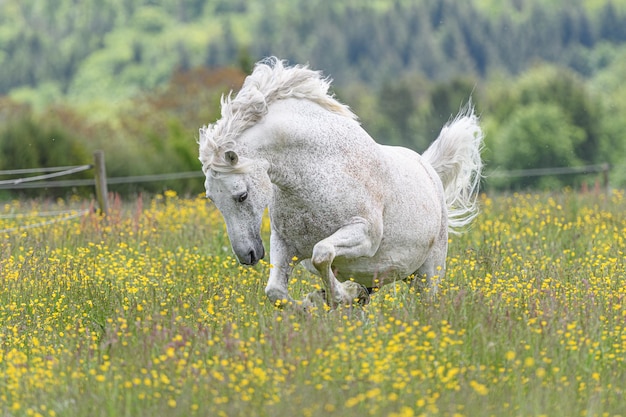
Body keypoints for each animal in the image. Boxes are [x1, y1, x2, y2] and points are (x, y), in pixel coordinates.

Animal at [197, 57, 480, 308]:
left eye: (241, 195)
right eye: (212, 199)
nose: (247, 255)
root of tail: (429, 170)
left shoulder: (364, 235)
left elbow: (322, 254)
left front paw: (338, 296)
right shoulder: (285, 244)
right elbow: (275, 291)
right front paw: (314, 303)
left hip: (428, 275)